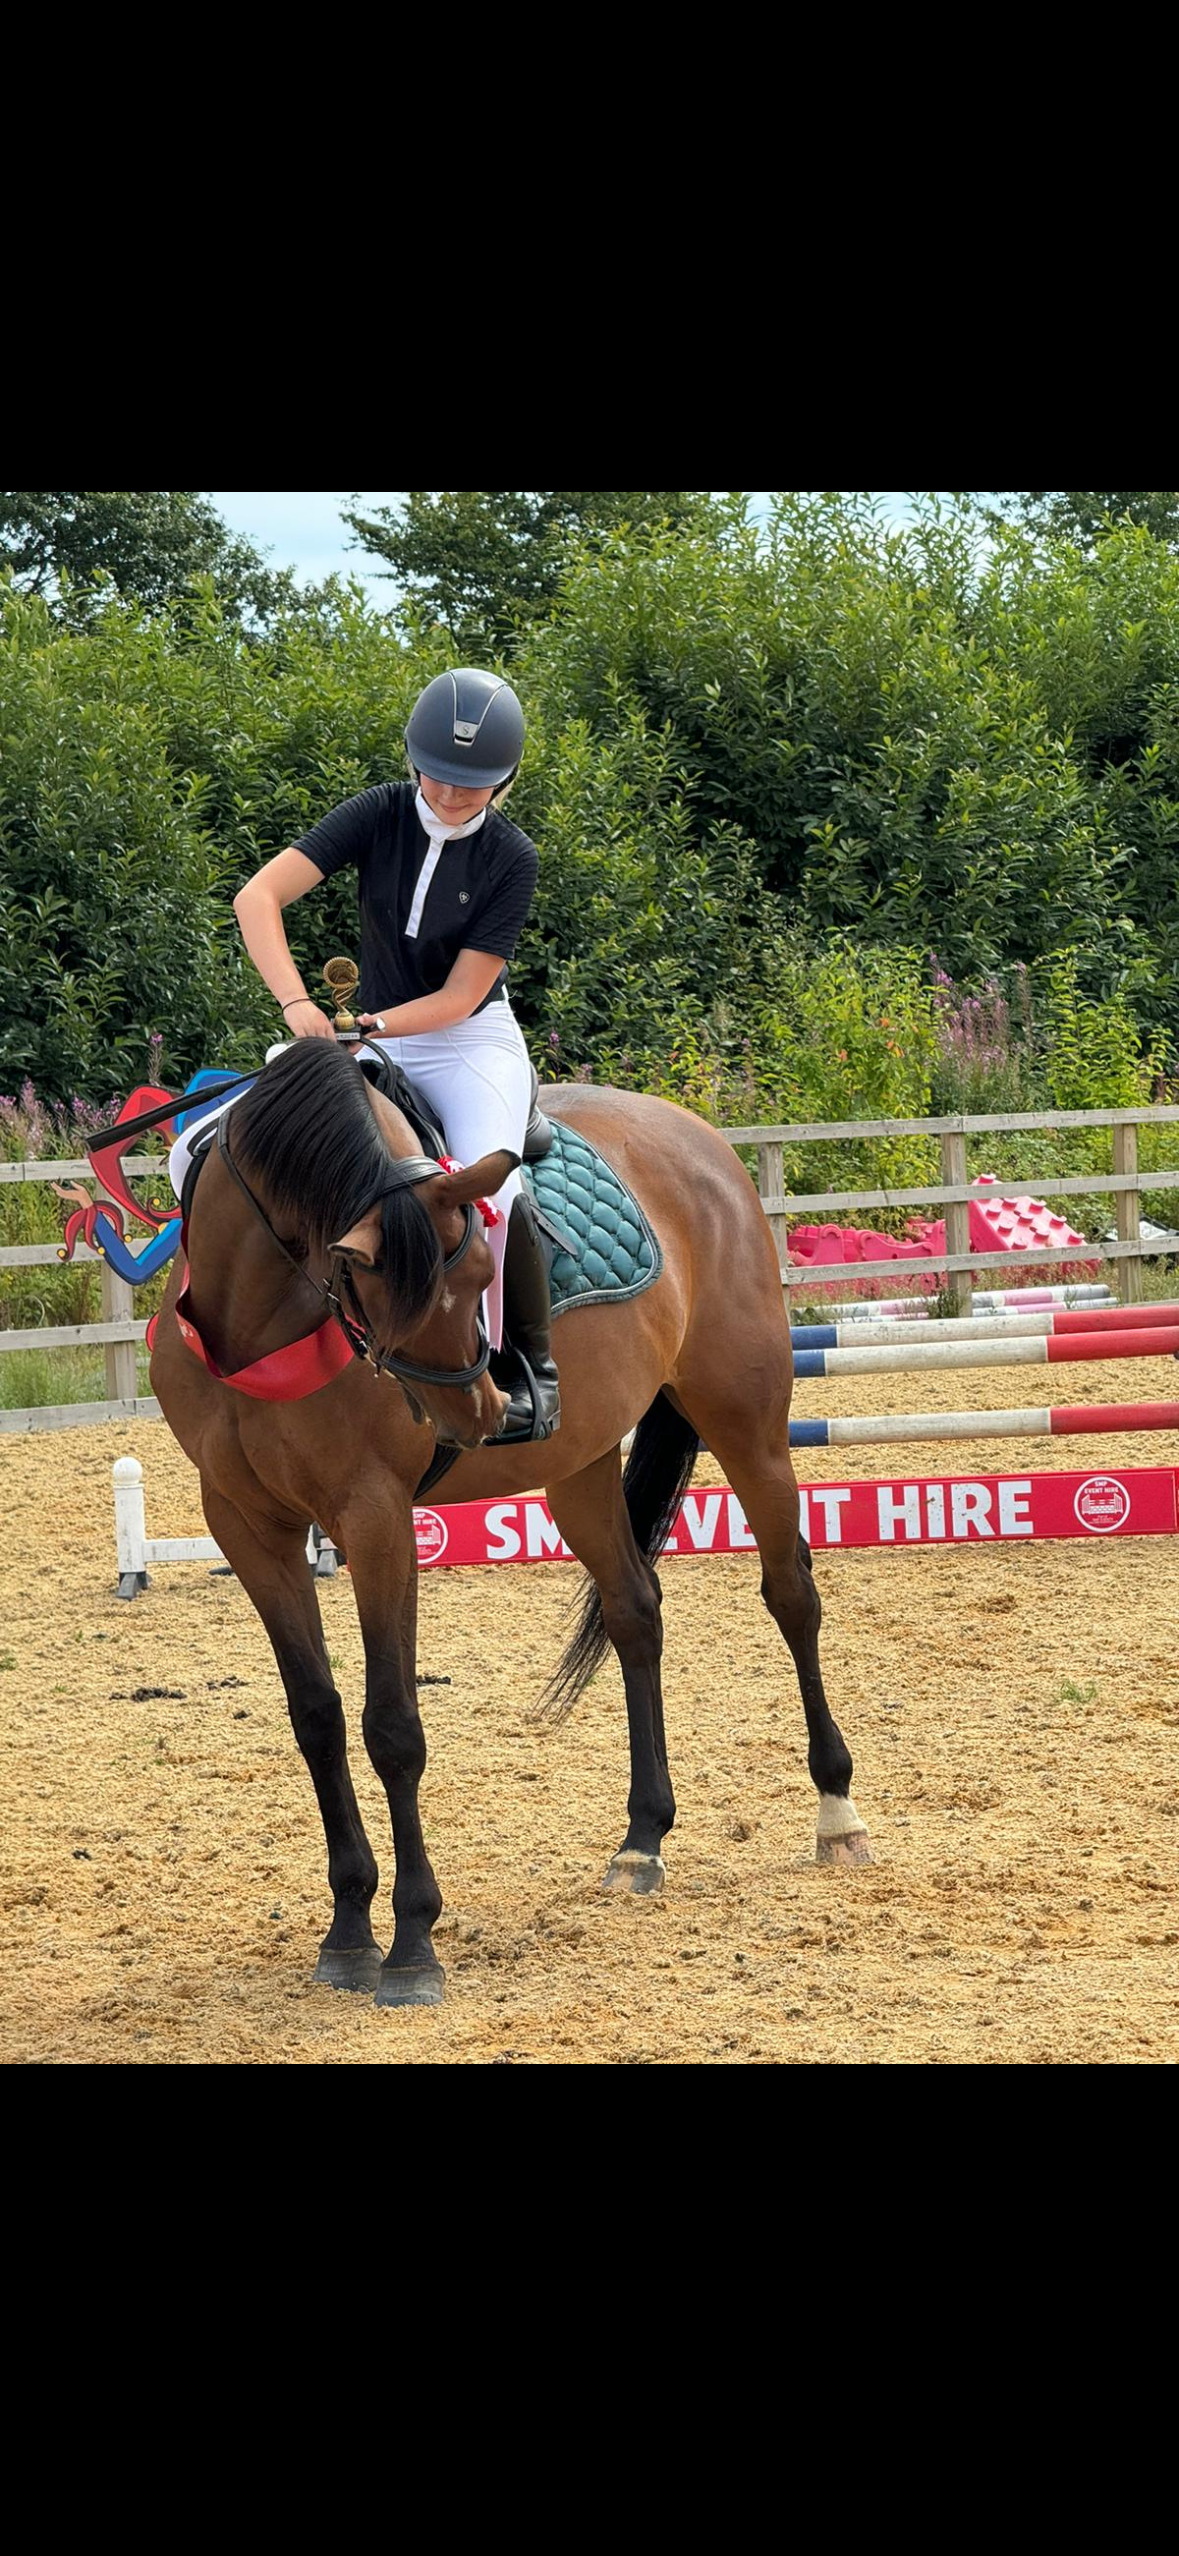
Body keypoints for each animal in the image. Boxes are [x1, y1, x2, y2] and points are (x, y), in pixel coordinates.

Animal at [150, 1038, 869, 2007]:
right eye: (375, 1280)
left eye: (476, 1271)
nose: (483, 1411)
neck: (259, 1316)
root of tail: (696, 1135)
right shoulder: (243, 1522)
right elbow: (317, 1717)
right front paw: (347, 1930)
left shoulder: (375, 1516)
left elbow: (391, 1726)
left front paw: (411, 1944)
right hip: (578, 1464)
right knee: (635, 1612)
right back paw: (642, 1841)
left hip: (745, 1421)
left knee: (790, 1594)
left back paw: (835, 1812)